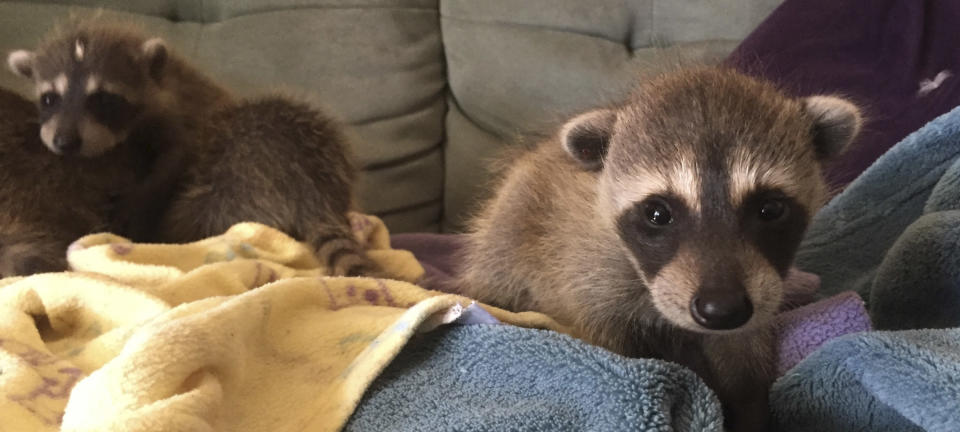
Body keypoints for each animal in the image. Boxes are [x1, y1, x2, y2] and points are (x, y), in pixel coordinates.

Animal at [9, 17, 382, 276]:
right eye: (48, 99)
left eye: (103, 100)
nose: (64, 143)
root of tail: (311, 186)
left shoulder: (181, 116)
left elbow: (173, 162)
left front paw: (138, 202)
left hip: (234, 184)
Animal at [458, 66, 864, 428]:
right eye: (657, 213)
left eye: (770, 209)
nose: (722, 310)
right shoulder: (586, 274)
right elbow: (611, 351)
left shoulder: (756, 289)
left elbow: (744, 355)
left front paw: (750, 406)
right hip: (507, 235)